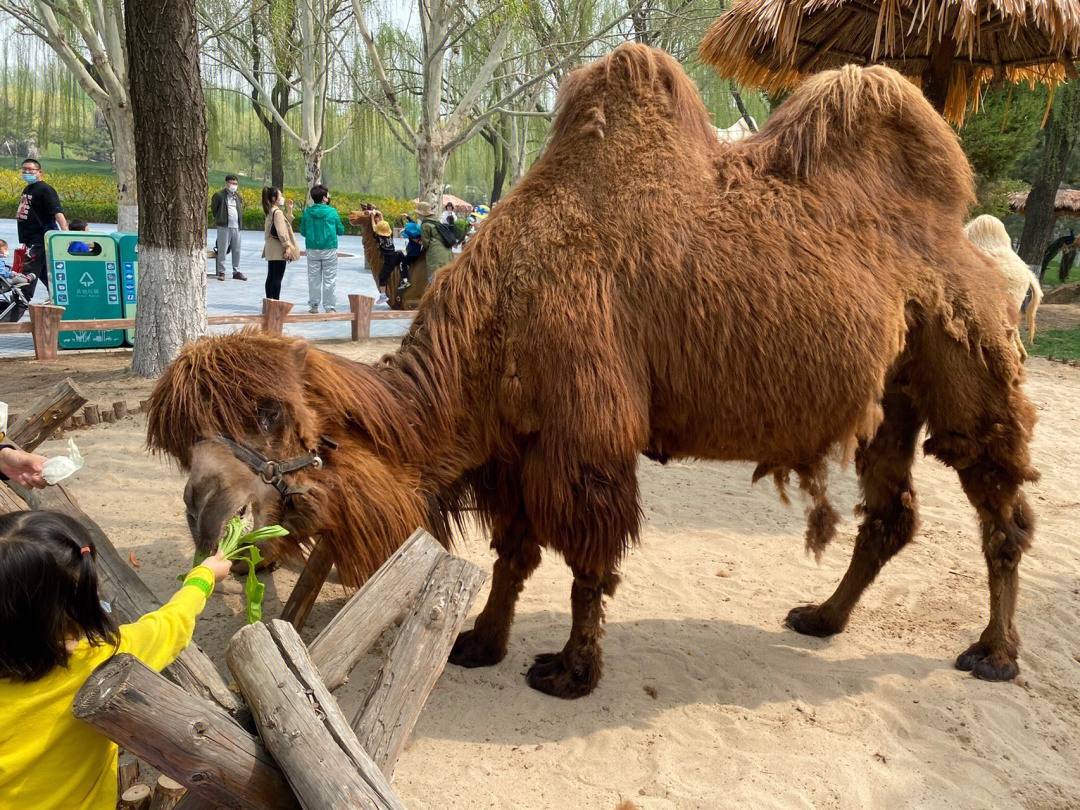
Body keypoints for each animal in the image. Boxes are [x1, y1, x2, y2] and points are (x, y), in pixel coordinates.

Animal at [150, 44, 1036, 699]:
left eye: (270, 415)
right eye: (181, 443)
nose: (206, 514)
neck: (492, 318)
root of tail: (971, 244)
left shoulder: (585, 436)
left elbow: (585, 561)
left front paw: (570, 671)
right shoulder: (512, 446)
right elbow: (513, 554)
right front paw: (480, 641)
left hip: (970, 357)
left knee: (999, 503)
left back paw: (994, 652)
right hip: (894, 393)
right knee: (890, 513)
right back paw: (822, 617)